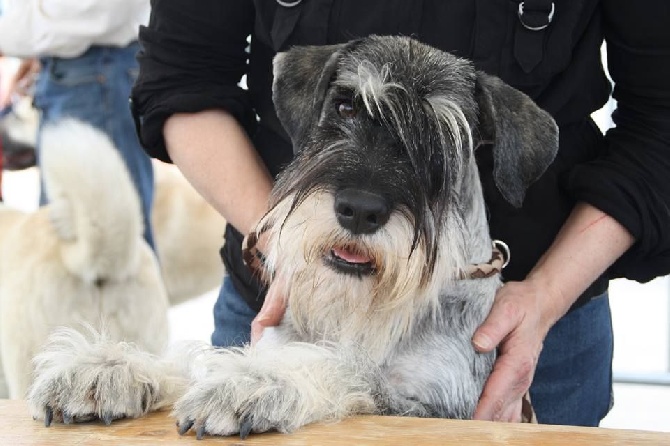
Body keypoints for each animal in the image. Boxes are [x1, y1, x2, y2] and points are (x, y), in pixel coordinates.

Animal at [23, 35, 560, 440]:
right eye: (345, 106)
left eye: (443, 140)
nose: (360, 209)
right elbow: (197, 357)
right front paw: (107, 368)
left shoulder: (436, 407)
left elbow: (348, 371)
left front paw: (254, 384)